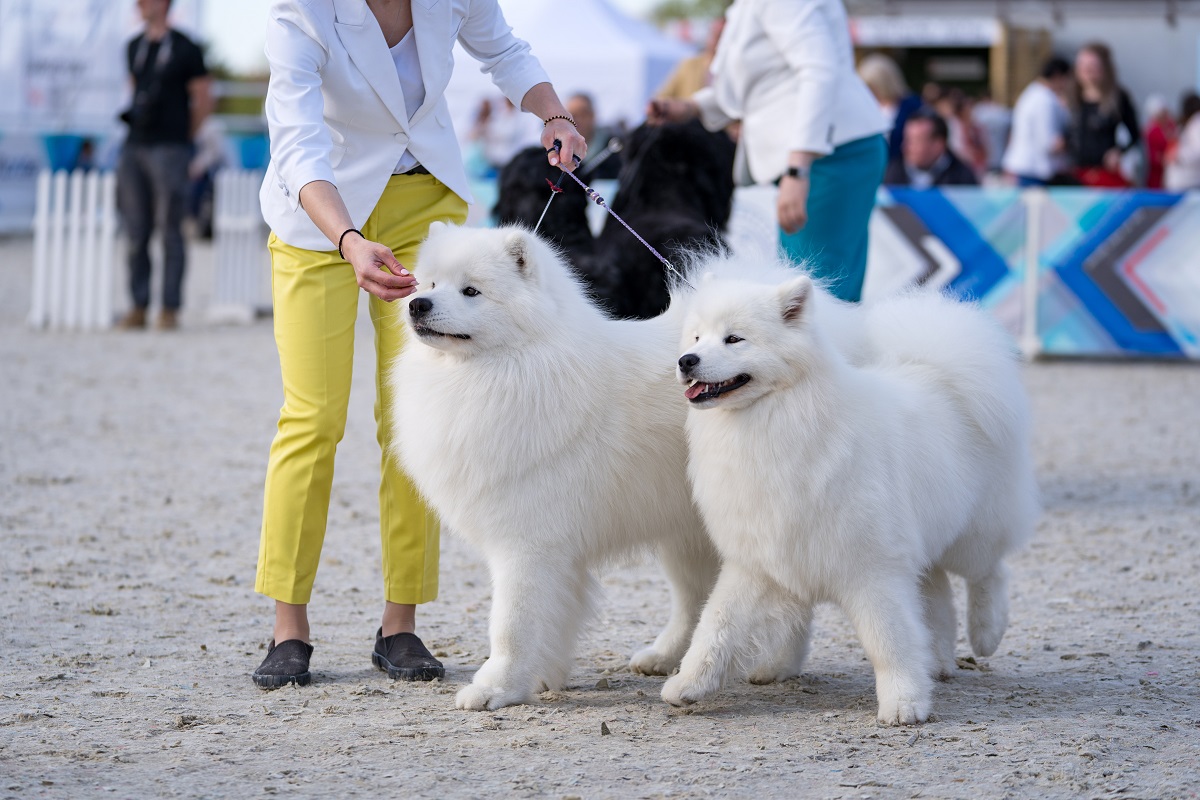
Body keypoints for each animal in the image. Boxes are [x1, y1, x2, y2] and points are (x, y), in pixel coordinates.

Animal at [388, 221, 724, 710]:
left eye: (471, 291)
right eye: (429, 284)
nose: (418, 304)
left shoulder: (528, 543)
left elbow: (510, 623)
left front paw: (495, 688)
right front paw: (542, 678)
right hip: (683, 530)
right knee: (694, 598)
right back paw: (667, 657)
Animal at [662, 268, 1036, 724]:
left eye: (734, 339)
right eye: (697, 338)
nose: (686, 361)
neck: (775, 418)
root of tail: (940, 372)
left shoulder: (872, 569)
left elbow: (889, 640)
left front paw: (904, 702)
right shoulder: (755, 562)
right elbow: (715, 628)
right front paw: (687, 684)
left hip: (971, 534)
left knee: (990, 572)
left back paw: (985, 634)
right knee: (939, 594)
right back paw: (938, 661)